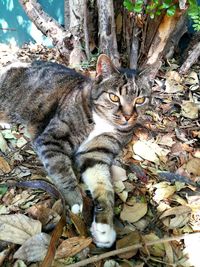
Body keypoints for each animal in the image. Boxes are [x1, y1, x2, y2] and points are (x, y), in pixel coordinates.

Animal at [0, 55, 150, 249]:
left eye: (140, 100)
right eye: (114, 97)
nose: (128, 116)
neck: (102, 122)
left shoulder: (96, 155)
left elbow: (105, 187)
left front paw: (104, 228)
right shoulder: (51, 140)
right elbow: (63, 172)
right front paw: (77, 201)